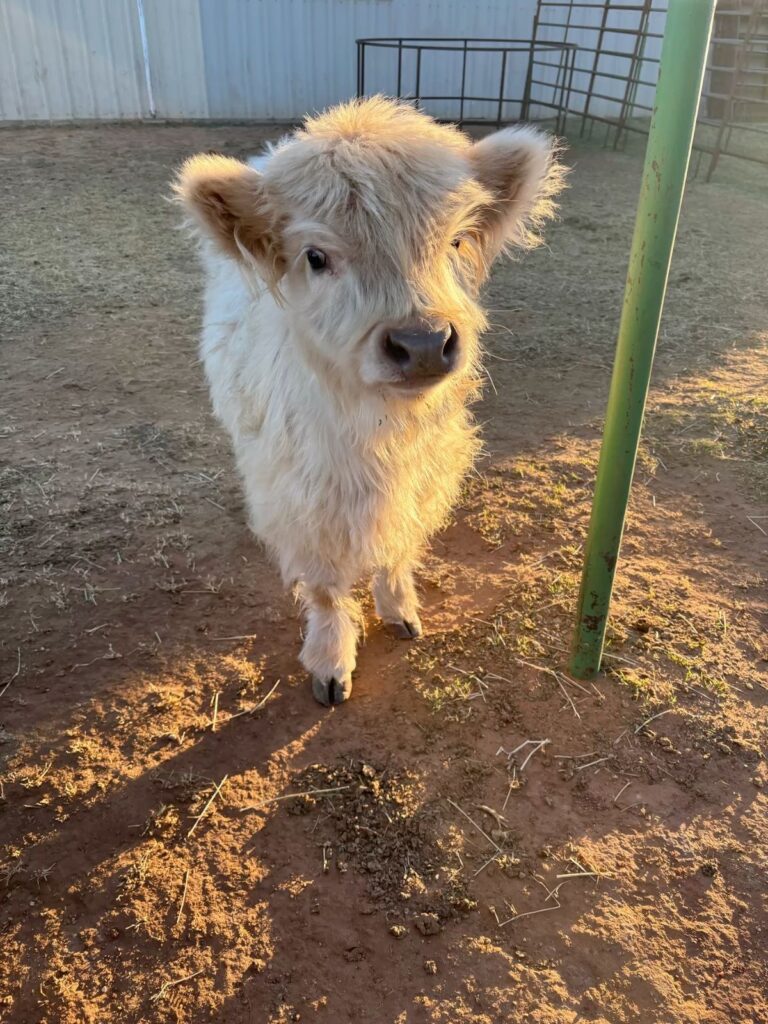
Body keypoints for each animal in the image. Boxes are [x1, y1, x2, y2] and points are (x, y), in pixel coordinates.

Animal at [175, 96, 563, 706]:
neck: (377, 433)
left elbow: (398, 544)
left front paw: (400, 608)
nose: (423, 344)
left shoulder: (427, 471)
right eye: (315, 256)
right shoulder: (303, 496)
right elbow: (325, 587)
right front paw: (331, 659)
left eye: (455, 241)